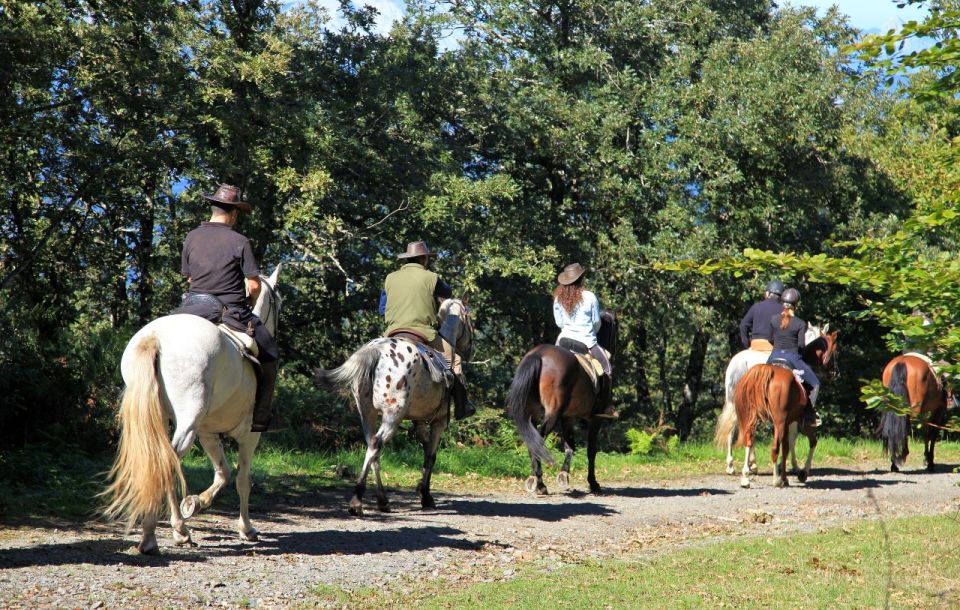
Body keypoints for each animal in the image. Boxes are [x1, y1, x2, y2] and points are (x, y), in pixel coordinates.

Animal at [102, 264, 282, 552]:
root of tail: (155, 337)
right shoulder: (249, 435)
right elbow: (242, 480)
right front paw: (246, 528)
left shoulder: (208, 434)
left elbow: (223, 473)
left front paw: (195, 503)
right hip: (188, 424)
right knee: (167, 464)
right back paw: (160, 534)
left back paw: (175, 530)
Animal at [316, 296, 472, 516]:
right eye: (470, 321)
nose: (469, 351)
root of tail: (375, 349)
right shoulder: (439, 421)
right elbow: (430, 456)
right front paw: (426, 496)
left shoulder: (419, 422)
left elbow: (425, 451)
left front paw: (422, 490)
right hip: (393, 415)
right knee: (376, 444)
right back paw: (357, 499)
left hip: (368, 413)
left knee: (372, 448)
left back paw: (382, 500)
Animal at [506, 308, 620, 494]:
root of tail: (539, 354)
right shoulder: (595, 418)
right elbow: (591, 450)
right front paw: (593, 483)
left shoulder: (568, 417)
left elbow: (570, 446)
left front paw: (564, 474)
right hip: (553, 413)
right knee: (539, 439)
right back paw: (539, 483)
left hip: (533, 412)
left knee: (532, 440)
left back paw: (538, 481)